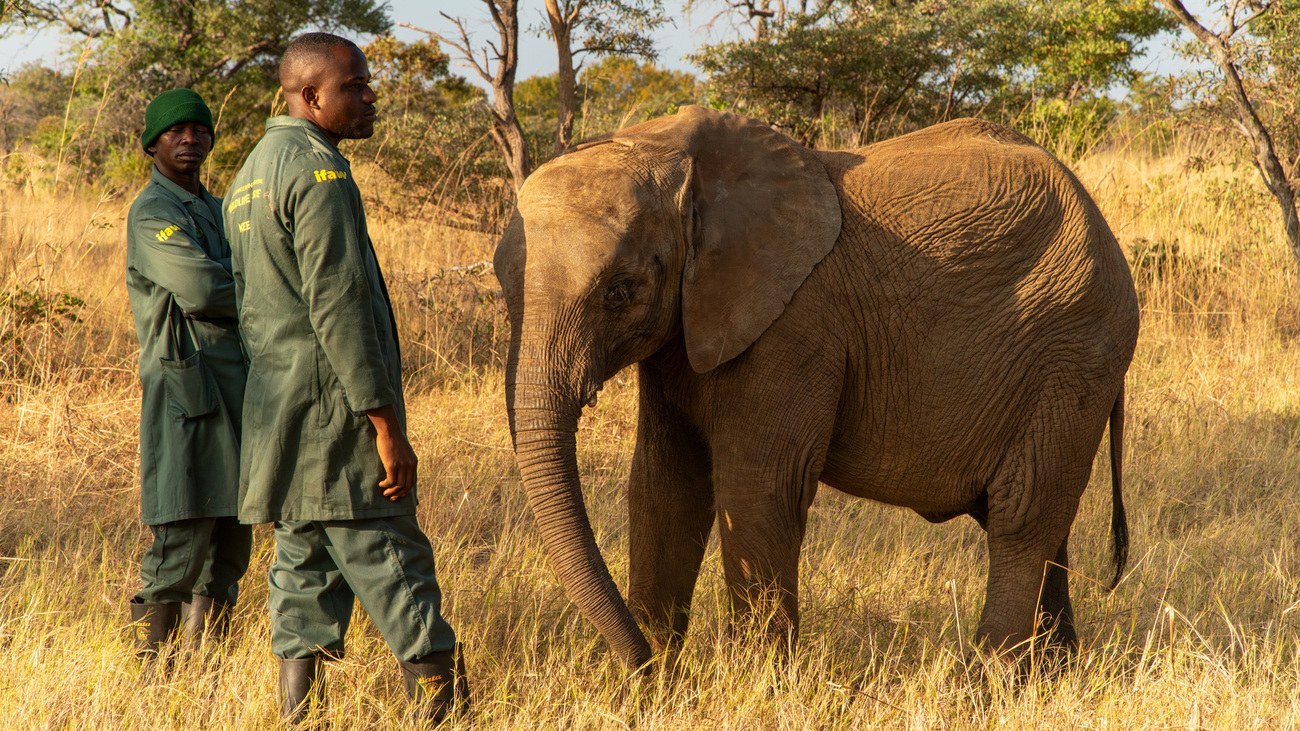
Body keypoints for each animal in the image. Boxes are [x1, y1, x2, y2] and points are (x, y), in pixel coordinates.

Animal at [493, 105, 1140, 671]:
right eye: (503, 286)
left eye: (619, 290)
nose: (641, 666)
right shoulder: (685, 329)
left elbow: (758, 489)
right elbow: (663, 487)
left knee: (1021, 517)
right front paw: (657, 686)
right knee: (1040, 524)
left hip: (1075, 354)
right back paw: (1053, 675)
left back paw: (985, 681)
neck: (670, 149)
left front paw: (753, 686)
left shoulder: (793, 326)